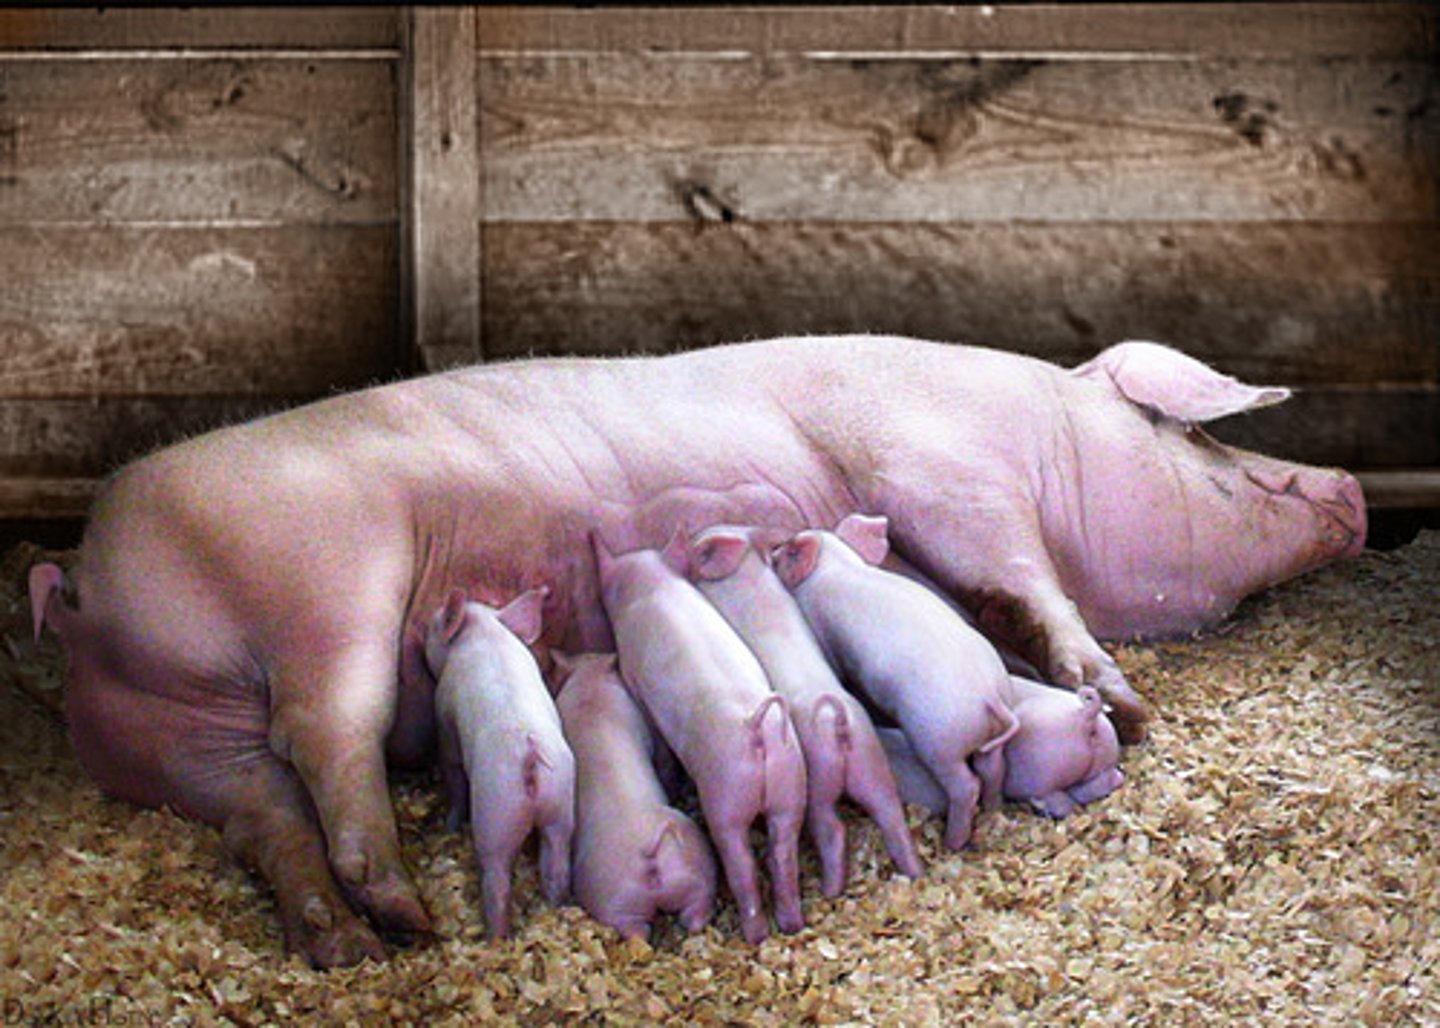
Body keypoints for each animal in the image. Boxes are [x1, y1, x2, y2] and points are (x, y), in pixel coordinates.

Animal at [423, 588, 574, 939]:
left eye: (434, 624)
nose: (419, 631)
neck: (485, 633)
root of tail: (530, 756)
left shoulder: (444, 716)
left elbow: (452, 769)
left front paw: (449, 826)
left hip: (496, 812)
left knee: (497, 878)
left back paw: (495, 937)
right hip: (561, 801)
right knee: (556, 863)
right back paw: (554, 907)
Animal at [593, 531, 808, 944]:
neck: (654, 585)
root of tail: (755, 729)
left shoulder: (635, 679)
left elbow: (659, 745)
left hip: (725, 799)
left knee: (740, 864)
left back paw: (756, 934)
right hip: (790, 786)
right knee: (784, 852)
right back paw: (791, 925)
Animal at [680, 524, 923, 895]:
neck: (746, 572)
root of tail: (837, 720)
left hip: (820, 780)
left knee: (831, 827)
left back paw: (830, 890)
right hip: (871, 764)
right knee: (890, 811)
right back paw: (914, 873)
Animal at [772, 514, 1021, 851]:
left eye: (788, 551)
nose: (771, 552)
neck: (836, 565)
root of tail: (989, 696)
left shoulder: (823, 631)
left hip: (939, 741)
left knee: (967, 785)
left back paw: (952, 842)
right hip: (986, 738)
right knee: (994, 769)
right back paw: (993, 810)